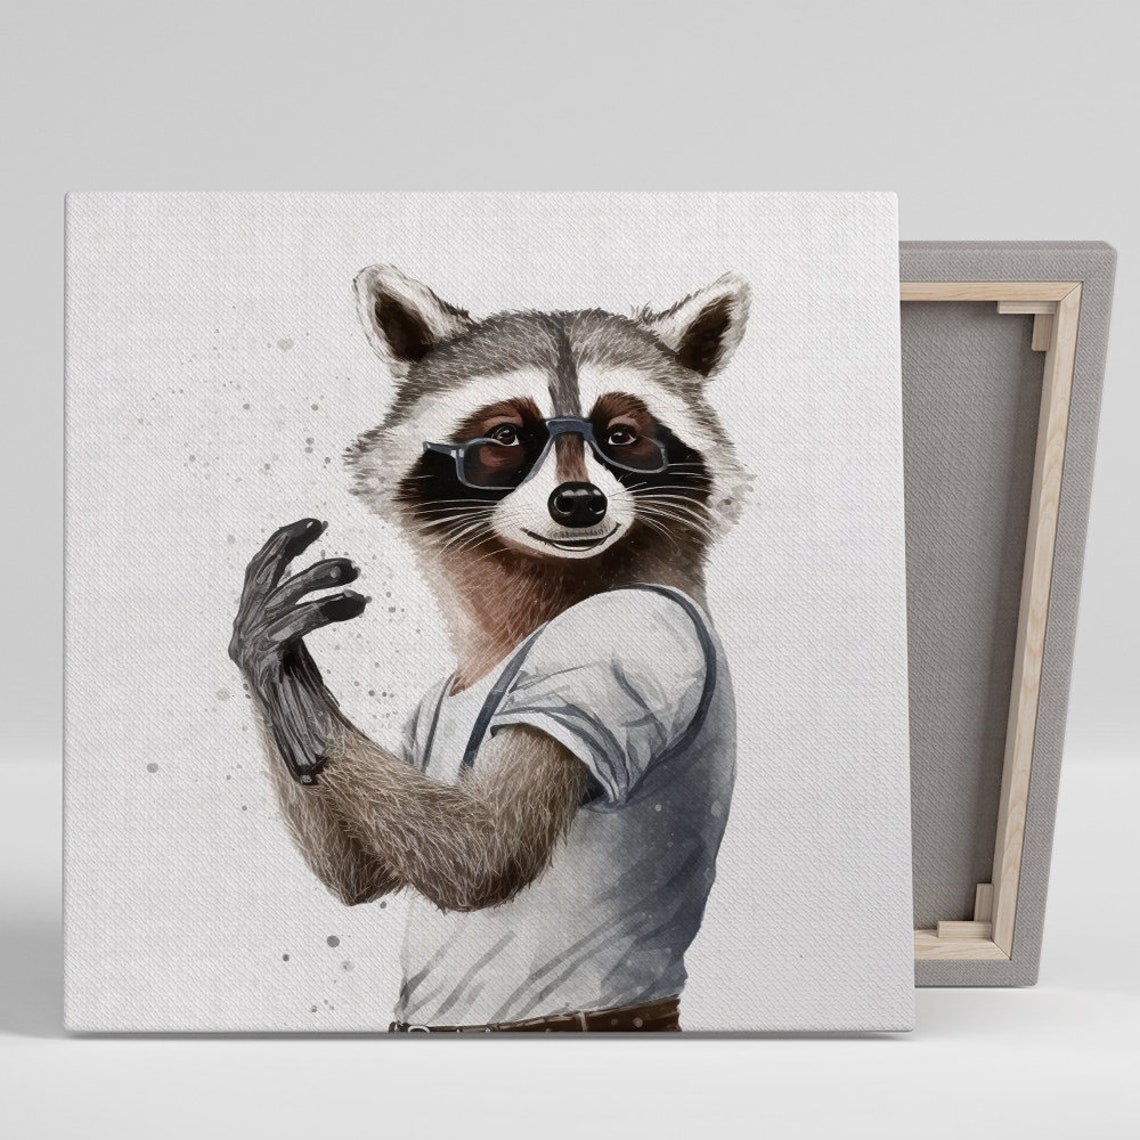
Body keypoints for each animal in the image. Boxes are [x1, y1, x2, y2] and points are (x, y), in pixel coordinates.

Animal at [229, 266, 751, 1031]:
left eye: (622, 435)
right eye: (506, 434)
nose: (579, 502)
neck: (546, 588)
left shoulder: (621, 644)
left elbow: (484, 850)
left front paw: (285, 676)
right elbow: (365, 869)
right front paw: (276, 666)